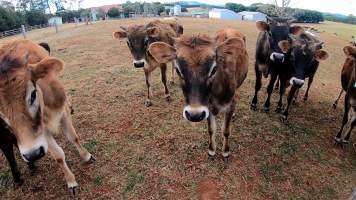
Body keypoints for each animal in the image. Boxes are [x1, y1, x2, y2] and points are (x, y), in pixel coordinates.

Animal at [0, 39, 94, 196]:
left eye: (33, 95)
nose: (32, 154)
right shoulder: (41, 132)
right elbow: (58, 156)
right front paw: (71, 181)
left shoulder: (62, 112)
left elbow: (73, 137)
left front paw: (86, 156)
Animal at [147, 28, 248, 162]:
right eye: (178, 70)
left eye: (214, 69)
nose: (194, 115)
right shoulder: (207, 107)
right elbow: (211, 129)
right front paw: (211, 151)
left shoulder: (230, 103)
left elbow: (226, 130)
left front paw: (226, 152)